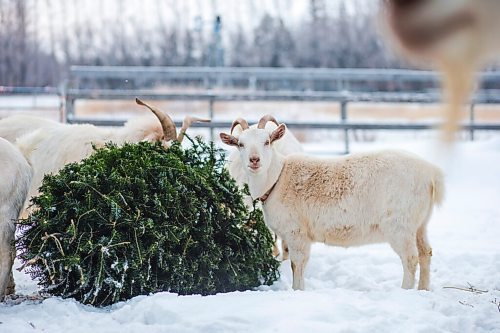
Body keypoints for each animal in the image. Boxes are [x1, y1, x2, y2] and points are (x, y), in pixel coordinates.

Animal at [221, 115, 444, 290]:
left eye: (267, 141)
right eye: (240, 144)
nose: (254, 160)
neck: (277, 178)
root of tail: (431, 173)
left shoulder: (296, 232)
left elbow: (297, 264)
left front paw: (297, 291)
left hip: (400, 224)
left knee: (410, 258)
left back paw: (405, 290)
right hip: (420, 223)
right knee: (425, 253)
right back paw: (423, 290)